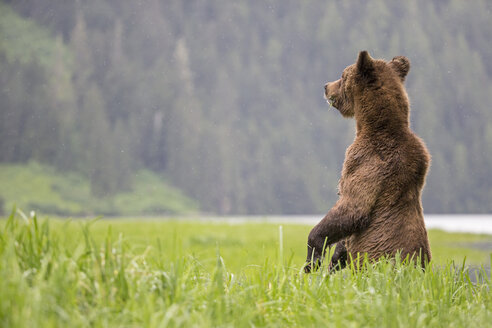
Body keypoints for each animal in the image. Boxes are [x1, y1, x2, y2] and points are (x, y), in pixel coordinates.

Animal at [306, 50, 432, 272]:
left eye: (342, 75)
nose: (326, 86)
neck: (374, 125)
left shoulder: (367, 161)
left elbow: (354, 207)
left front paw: (313, 258)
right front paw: (335, 258)